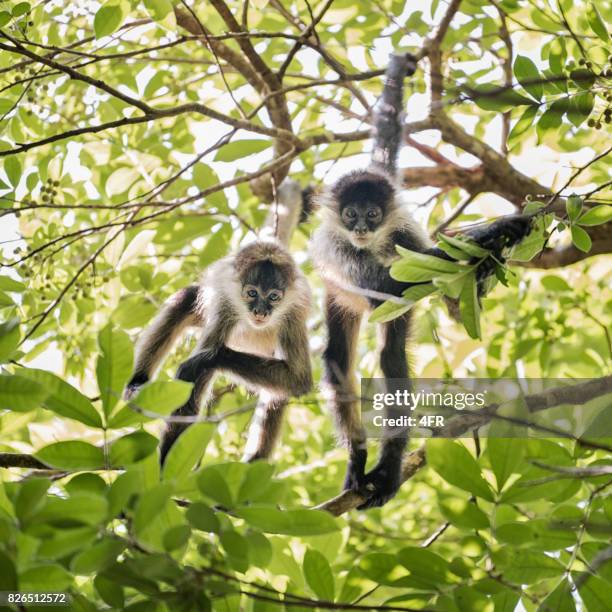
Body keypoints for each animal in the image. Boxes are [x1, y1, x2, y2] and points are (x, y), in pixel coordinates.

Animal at [126, 239, 314, 464]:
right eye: (252, 293)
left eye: (274, 297)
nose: (260, 312)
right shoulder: (224, 303)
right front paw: (165, 469)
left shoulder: (294, 313)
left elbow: (297, 380)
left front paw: (208, 360)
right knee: (185, 299)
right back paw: (137, 383)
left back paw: (256, 462)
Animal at [310, 52, 532, 506]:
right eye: (350, 214)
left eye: (372, 214)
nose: (362, 227)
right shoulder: (339, 250)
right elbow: (385, 286)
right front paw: (495, 231)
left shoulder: (402, 233)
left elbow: (405, 286)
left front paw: (490, 246)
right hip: (338, 295)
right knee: (339, 358)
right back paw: (360, 460)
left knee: (391, 357)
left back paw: (388, 467)